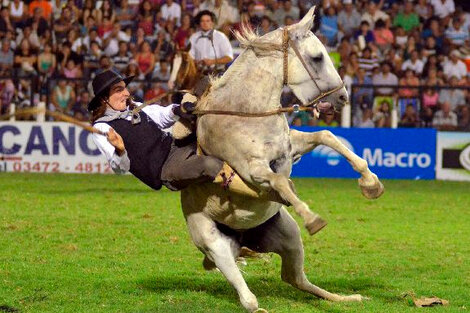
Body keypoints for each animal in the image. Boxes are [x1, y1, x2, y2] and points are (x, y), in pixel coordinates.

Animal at [179, 6, 382, 310]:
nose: (343, 98)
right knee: (248, 294)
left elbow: (327, 136)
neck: (245, 113)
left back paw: (347, 298)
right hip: (215, 244)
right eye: (317, 57)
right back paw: (256, 305)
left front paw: (371, 183)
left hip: (289, 236)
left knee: (296, 279)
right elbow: (280, 182)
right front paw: (312, 217)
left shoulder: (290, 148)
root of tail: (242, 240)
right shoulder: (251, 170)